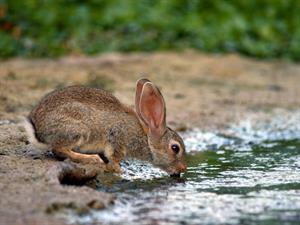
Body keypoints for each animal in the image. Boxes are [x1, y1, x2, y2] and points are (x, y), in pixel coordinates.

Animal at [26, 78, 185, 176]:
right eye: (175, 148)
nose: (183, 168)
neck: (146, 138)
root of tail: (38, 130)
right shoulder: (118, 137)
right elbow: (114, 156)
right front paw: (119, 170)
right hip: (78, 129)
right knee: (59, 149)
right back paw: (92, 159)